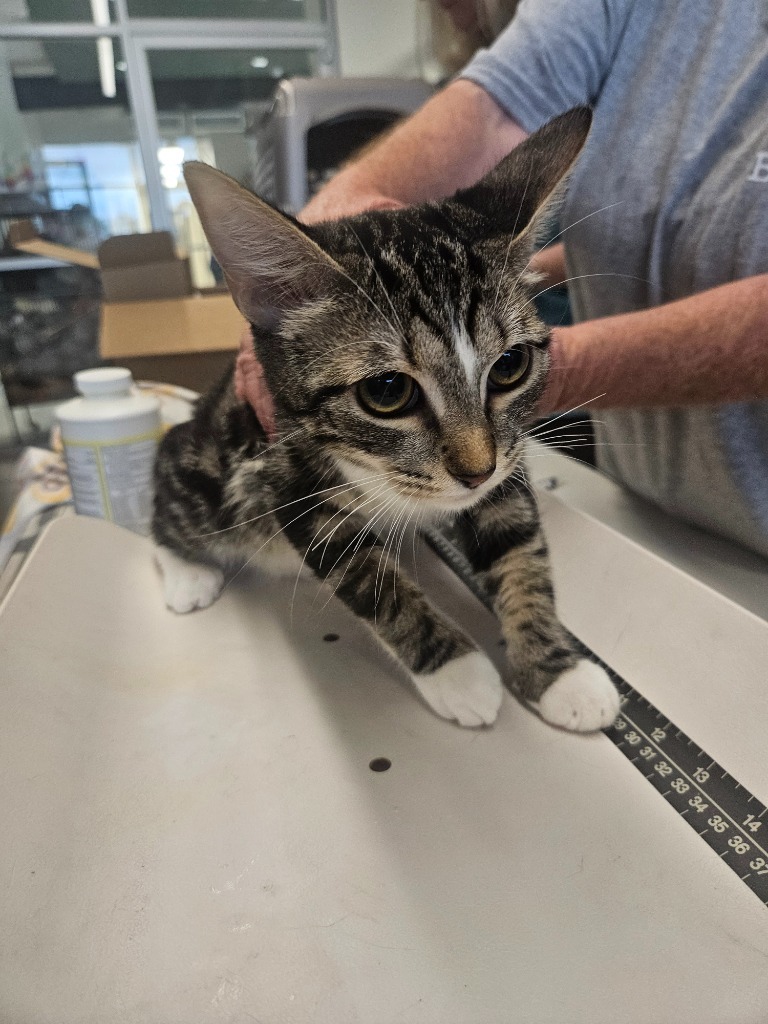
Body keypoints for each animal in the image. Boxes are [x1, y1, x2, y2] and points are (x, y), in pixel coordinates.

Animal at [153, 108, 622, 733]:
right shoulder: (287, 475)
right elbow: (369, 579)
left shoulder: (508, 454)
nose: (475, 471)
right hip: (215, 469)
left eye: (510, 366)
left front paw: (557, 671)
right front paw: (458, 672)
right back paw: (186, 571)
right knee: (170, 488)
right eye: (387, 391)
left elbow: (518, 543)